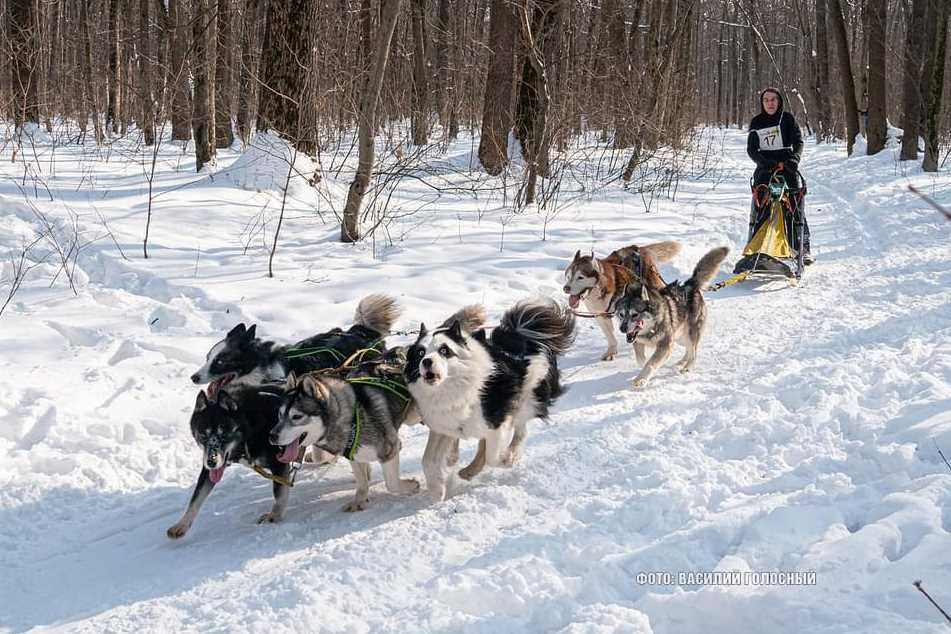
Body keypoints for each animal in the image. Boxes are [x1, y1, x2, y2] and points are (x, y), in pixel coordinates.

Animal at [408, 296, 576, 498]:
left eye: (444, 350)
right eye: (420, 352)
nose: (426, 362)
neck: (452, 387)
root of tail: (522, 332)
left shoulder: (497, 418)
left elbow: (492, 455)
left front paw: (506, 459)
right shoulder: (445, 425)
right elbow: (428, 459)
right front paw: (437, 490)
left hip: (527, 397)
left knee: (521, 430)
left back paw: (508, 455)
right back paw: (469, 470)